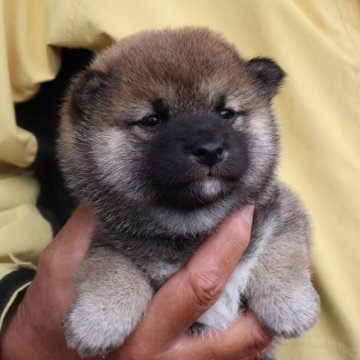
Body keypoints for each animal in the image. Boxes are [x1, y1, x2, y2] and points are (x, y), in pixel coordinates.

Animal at [57, 27, 320, 358]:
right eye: (152, 120)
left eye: (226, 113)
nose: (209, 149)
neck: (194, 226)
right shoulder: (103, 239)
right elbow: (113, 267)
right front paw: (98, 320)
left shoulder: (282, 210)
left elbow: (282, 248)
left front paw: (290, 304)